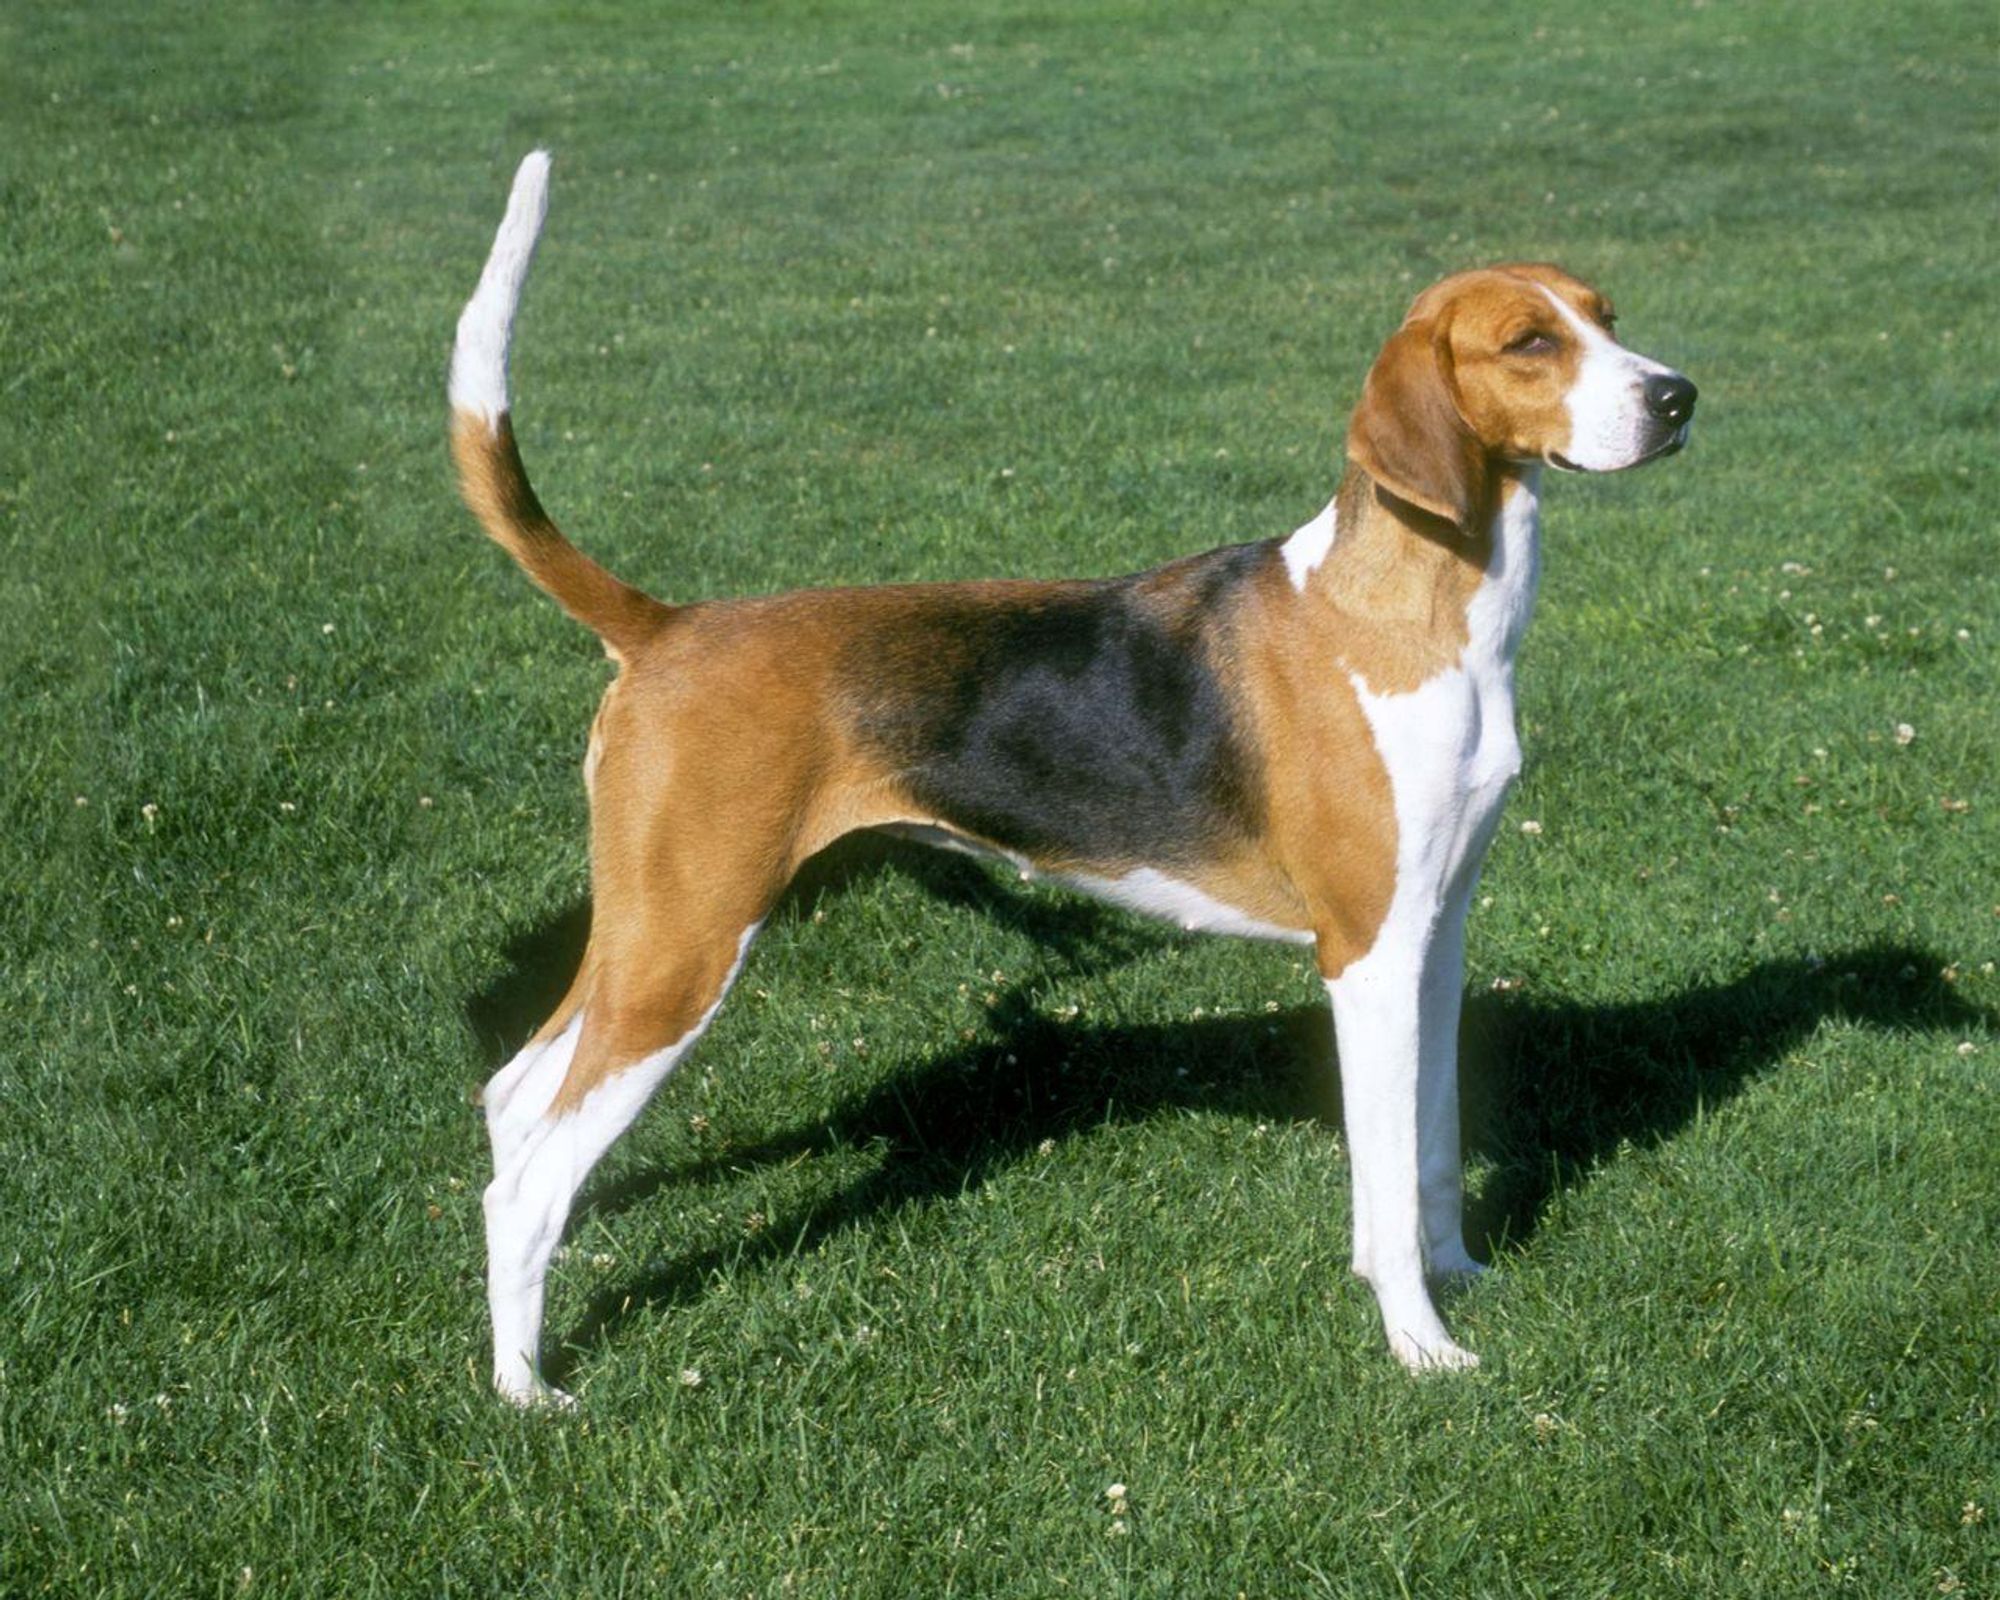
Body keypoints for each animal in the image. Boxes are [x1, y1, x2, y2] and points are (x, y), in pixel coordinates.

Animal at [454, 150, 1704, 1400]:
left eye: (1603, 317)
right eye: (1527, 343)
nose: (1677, 396)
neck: (1410, 610)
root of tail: (667, 627)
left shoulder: (1432, 937)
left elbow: (1429, 1149)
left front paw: (1457, 1274)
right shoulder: (1366, 952)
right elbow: (1385, 1183)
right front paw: (1420, 1343)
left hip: (643, 934)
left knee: (513, 1096)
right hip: (687, 945)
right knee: (524, 1179)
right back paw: (525, 1389)